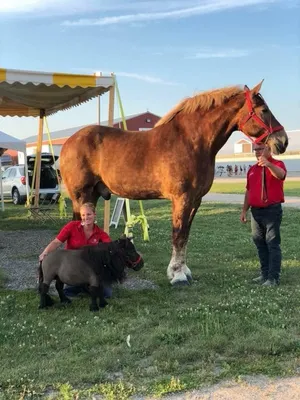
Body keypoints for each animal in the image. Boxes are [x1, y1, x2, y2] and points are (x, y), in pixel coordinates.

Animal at [60, 81, 288, 286]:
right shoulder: (182, 198)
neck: (191, 141)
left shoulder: (195, 200)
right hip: (81, 196)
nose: (282, 141)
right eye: (264, 110)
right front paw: (178, 275)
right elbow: (178, 235)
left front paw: (183, 271)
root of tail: (68, 143)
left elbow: (185, 235)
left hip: (91, 195)